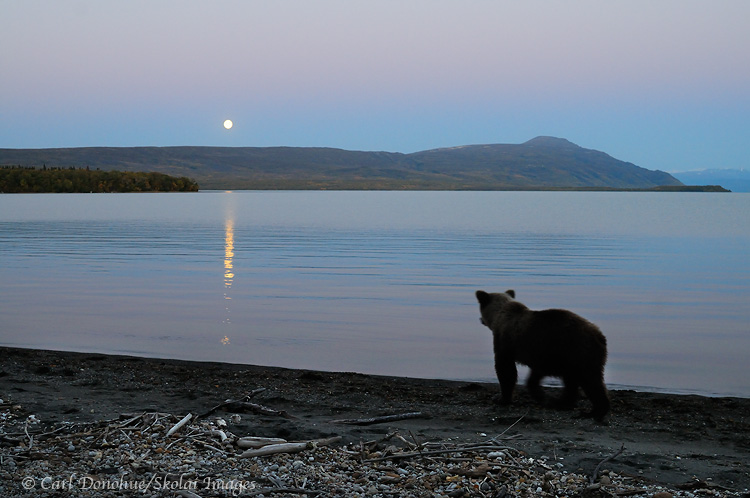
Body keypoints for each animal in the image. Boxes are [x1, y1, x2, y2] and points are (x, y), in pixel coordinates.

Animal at [475, 289, 610, 421]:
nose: (480, 320)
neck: (498, 316)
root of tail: (599, 335)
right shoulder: (542, 354)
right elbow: (535, 374)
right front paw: (541, 395)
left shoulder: (507, 341)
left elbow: (505, 369)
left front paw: (502, 398)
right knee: (574, 381)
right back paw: (562, 402)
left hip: (577, 350)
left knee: (590, 380)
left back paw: (595, 411)